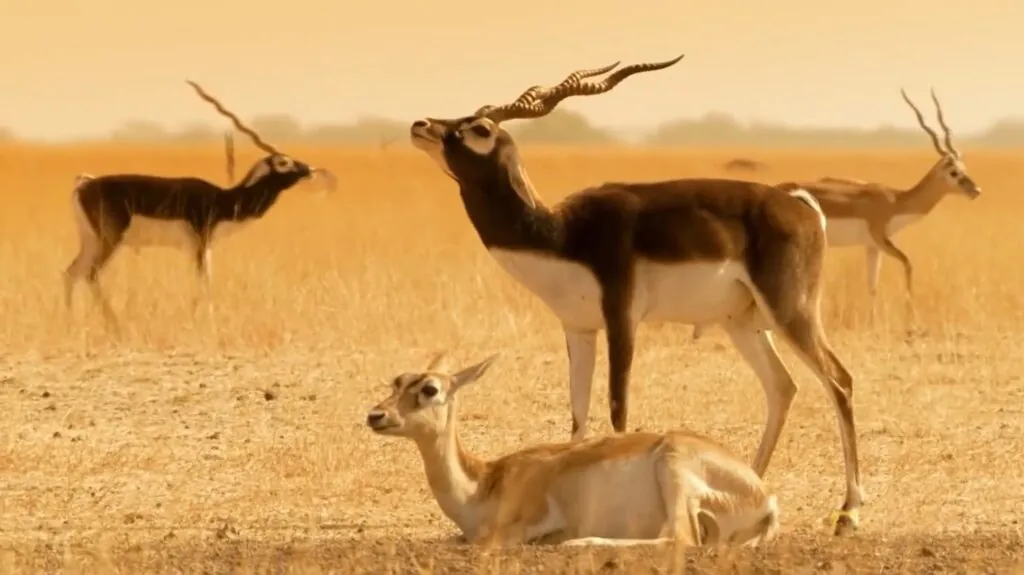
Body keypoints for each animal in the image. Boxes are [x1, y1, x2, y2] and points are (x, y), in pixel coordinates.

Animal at [64, 82, 335, 329]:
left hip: (91, 240)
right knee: (91, 273)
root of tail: (84, 184)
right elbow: (205, 281)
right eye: (283, 162)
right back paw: (115, 326)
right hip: (110, 239)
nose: (310, 169)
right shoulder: (201, 240)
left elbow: (204, 280)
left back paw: (72, 324)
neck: (224, 199)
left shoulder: (202, 246)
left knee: (71, 272)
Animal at [366, 351, 774, 544]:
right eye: (397, 381)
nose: (376, 415)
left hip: (672, 467)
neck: (484, 483)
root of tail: (766, 498)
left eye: (430, 389)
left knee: (679, 538)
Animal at [407, 54, 864, 532]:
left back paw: (849, 513)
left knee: (839, 380)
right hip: (742, 323)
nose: (421, 124)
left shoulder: (621, 317)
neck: (561, 233)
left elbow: (616, 408)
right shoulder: (578, 328)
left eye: (479, 128)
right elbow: (578, 413)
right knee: (782, 386)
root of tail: (800, 203)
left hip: (790, 309)